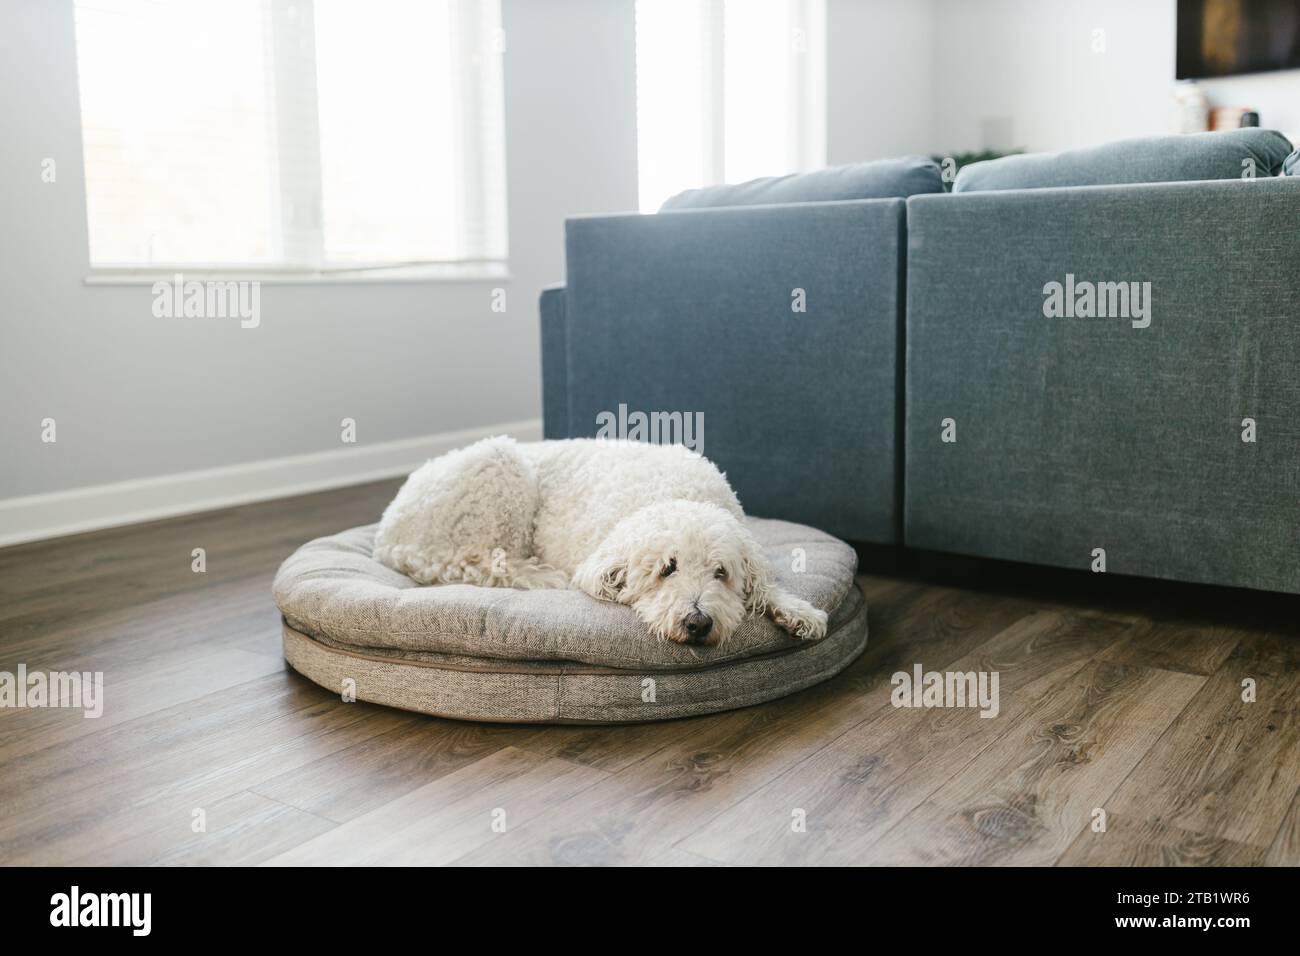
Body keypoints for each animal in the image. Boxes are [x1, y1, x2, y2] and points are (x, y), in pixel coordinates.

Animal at [371, 437, 826, 647]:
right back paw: (537, 574)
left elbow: (768, 585)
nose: (697, 622)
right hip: (499, 471)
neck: (677, 494)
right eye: (667, 569)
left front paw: (796, 611)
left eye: (721, 573)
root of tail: (387, 531)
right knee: (477, 560)